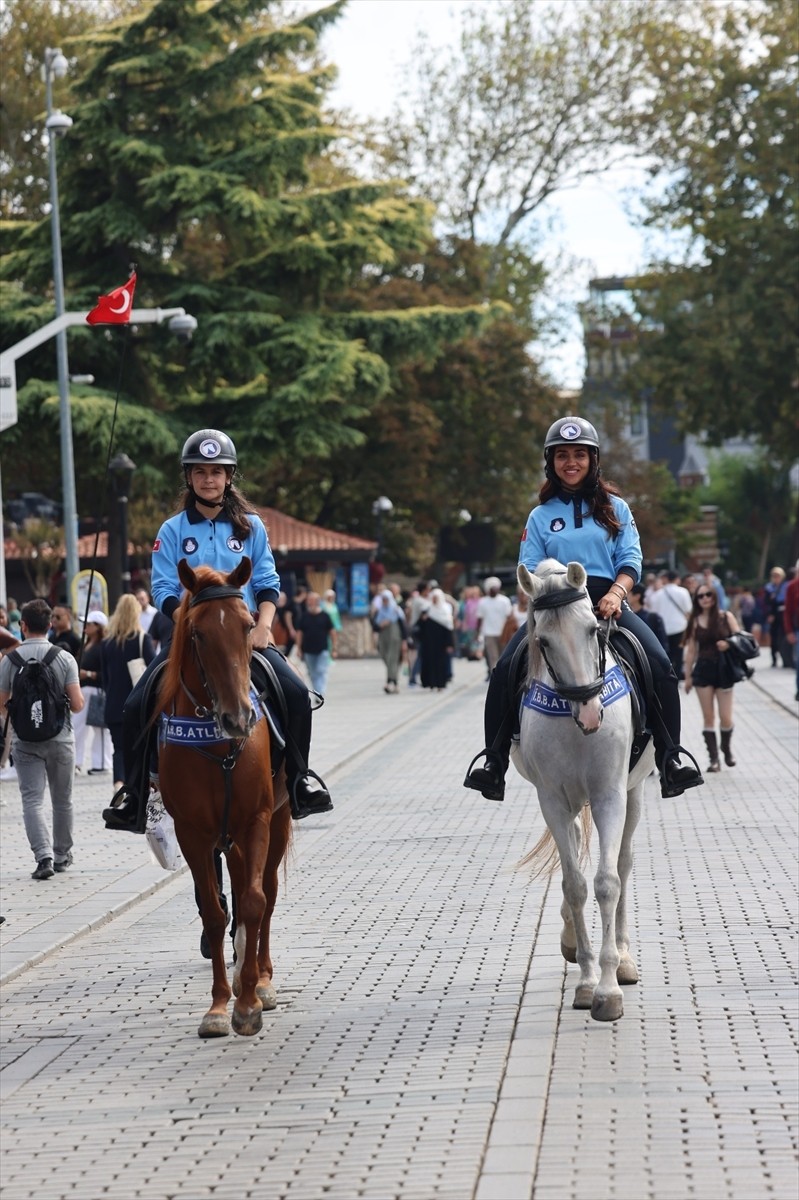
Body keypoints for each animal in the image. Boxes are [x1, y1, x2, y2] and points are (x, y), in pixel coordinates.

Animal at [155, 556, 292, 1036]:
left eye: (248, 624)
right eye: (197, 633)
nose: (239, 718)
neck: (217, 745)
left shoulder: (257, 819)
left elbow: (254, 901)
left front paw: (249, 1002)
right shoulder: (192, 833)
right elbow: (214, 914)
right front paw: (218, 1006)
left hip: (278, 822)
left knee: (266, 892)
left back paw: (262, 977)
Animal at [511, 559, 652, 1022]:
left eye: (593, 628)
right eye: (543, 641)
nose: (591, 713)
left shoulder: (610, 793)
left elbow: (608, 882)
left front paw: (609, 987)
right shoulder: (551, 799)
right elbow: (574, 883)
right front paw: (588, 981)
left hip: (634, 793)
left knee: (623, 862)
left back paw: (624, 957)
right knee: (571, 847)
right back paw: (573, 940)